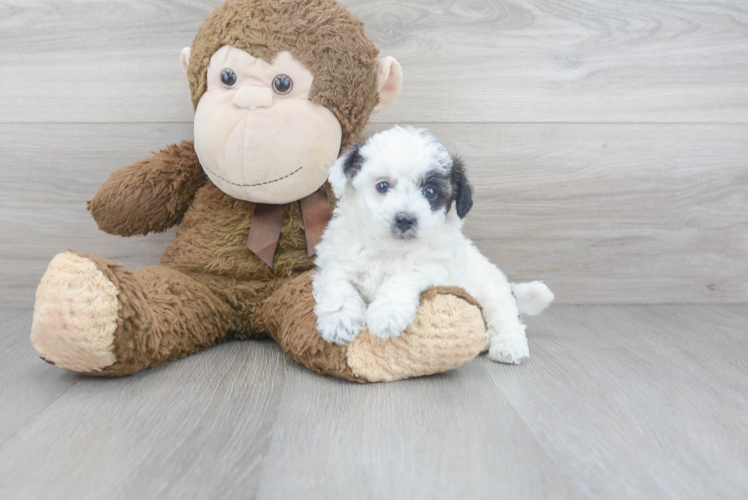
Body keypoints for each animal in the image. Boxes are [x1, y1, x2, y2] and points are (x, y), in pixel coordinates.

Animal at [312, 125, 552, 364]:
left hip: (492, 291)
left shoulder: (436, 266)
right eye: (382, 186)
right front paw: (339, 321)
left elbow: (403, 277)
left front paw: (387, 313)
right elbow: (337, 281)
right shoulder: (335, 257)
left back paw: (508, 346)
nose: (405, 219)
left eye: (430, 192)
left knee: (506, 318)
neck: (391, 249)